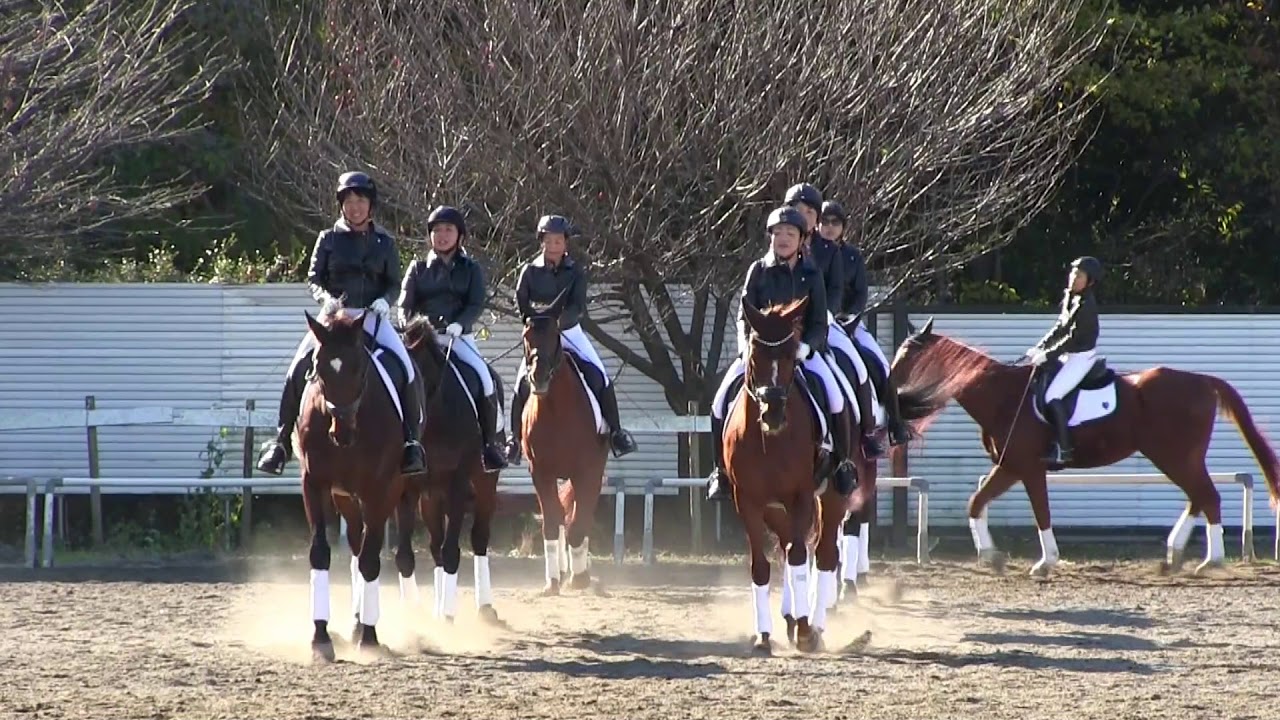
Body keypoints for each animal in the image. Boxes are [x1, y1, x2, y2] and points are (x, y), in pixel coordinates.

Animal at [296, 309, 420, 661]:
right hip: (347, 498)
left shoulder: (380, 491)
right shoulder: (313, 484)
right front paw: (320, 637)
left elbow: (370, 559)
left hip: (405, 492)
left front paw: (370, 638)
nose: (342, 432)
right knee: (355, 543)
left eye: (359, 367)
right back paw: (353, 622)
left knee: (398, 552)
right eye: (319, 367)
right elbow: (321, 554)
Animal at [399, 316, 506, 626]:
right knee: (435, 545)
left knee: (479, 538)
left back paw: (485, 608)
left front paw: (448, 615)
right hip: (430, 495)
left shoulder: (457, 483)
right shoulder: (409, 489)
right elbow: (405, 556)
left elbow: (451, 552)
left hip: (484, 483)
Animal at [519, 291, 610, 596]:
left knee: (578, 517)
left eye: (555, 334)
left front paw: (580, 577)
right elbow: (551, 521)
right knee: (560, 515)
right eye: (526, 335)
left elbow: (578, 523)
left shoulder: (588, 471)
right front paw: (553, 582)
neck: (556, 410)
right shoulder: (540, 472)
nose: (538, 377)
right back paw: (560, 571)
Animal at [890, 317, 1280, 576]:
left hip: (1176, 457)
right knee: (1198, 496)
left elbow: (1038, 511)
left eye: (908, 354)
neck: (1002, 396)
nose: (889, 384)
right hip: (1177, 457)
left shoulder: (1026, 467)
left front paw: (1044, 561)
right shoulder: (1011, 467)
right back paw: (1174, 555)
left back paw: (1209, 561)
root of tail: (1203, 381)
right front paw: (991, 556)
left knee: (1207, 496)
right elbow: (977, 501)